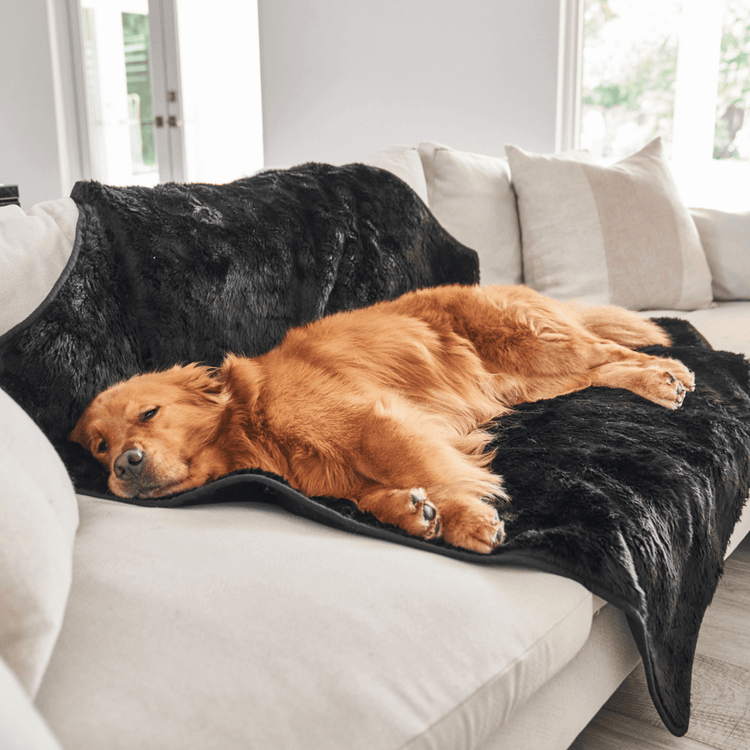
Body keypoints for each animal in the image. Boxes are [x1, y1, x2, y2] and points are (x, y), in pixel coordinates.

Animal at [73, 284, 696, 556]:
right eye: (100, 446)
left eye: (149, 413)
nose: (124, 466)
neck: (252, 423)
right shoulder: (339, 472)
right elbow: (371, 496)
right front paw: (413, 511)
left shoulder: (371, 422)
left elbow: (426, 468)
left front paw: (468, 517)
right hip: (530, 381)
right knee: (602, 370)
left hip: (536, 346)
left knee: (619, 351)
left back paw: (667, 375)